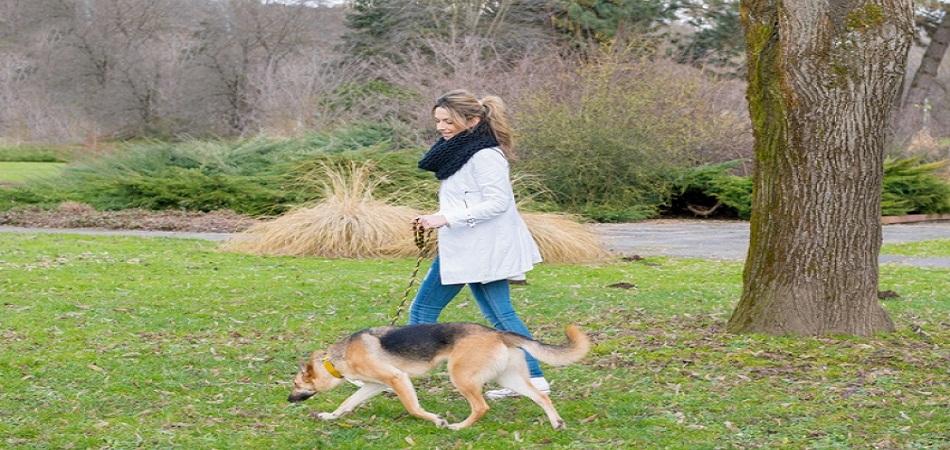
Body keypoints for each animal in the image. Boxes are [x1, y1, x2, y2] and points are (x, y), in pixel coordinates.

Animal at [286, 322, 592, 430]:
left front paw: (437, 420)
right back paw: (556, 423)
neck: (336, 361)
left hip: (460, 376)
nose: (288, 399)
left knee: (481, 407)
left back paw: (458, 427)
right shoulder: (373, 386)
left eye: (296, 383)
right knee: (541, 397)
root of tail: (497, 333)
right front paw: (329, 416)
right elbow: (346, 405)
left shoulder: (397, 379)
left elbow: (413, 408)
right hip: (509, 380)